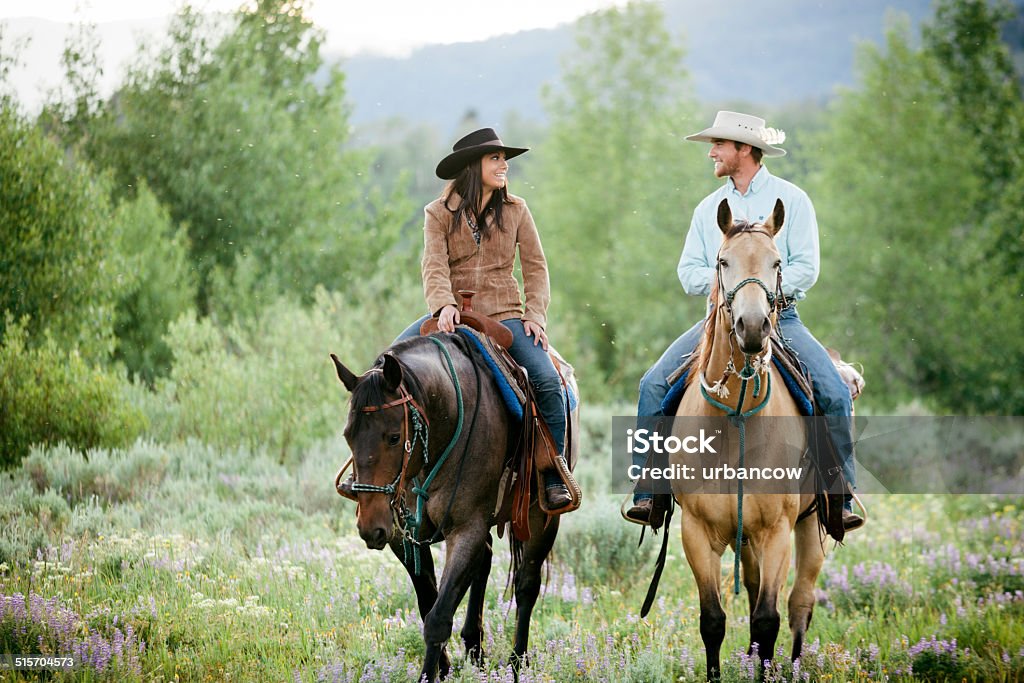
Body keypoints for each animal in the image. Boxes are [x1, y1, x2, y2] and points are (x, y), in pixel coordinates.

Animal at [331, 329, 581, 679]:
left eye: (394, 436)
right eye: (348, 435)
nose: (371, 527)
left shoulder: (465, 529)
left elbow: (438, 617)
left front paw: (429, 674)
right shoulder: (402, 537)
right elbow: (428, 603)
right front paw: (444, 667)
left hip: (541, 518)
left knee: (526, 585)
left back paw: (517, 663)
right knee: (486, 560)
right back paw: (475, 649)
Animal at [671, 196, 831, 679]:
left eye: (777, 261)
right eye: (723, 261)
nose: (753, 327)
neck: (736, 420)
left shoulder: (776, 531)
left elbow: (766, 619)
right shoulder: (697, 532)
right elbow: (713, 621)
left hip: (810, 527)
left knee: (799, 605)